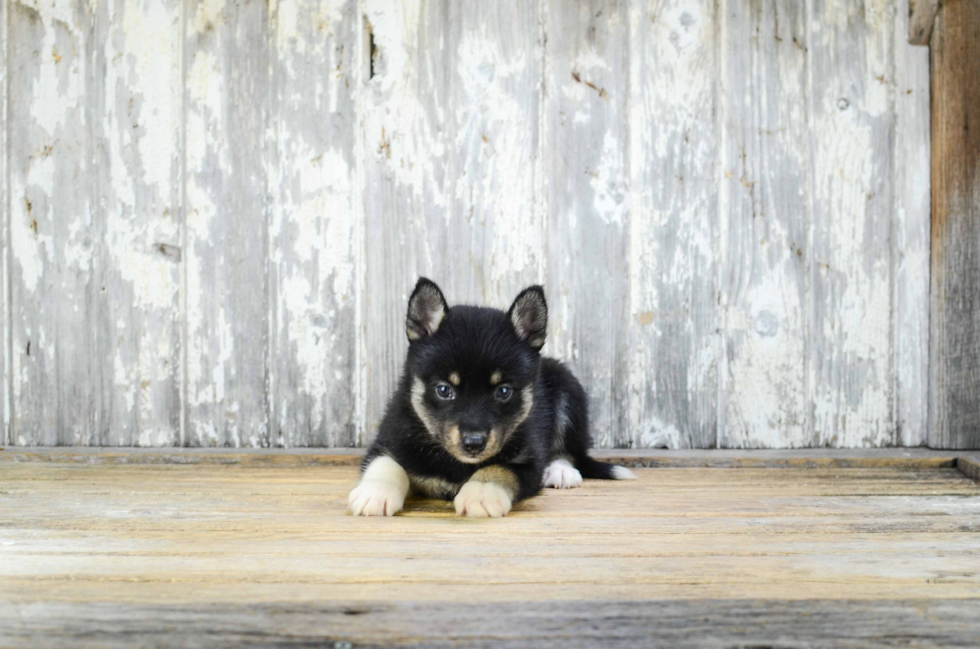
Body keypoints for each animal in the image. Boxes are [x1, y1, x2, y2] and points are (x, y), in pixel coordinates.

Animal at [346, 278, 636, 516]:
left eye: (503, 391)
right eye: (444, 390)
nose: (474, 443)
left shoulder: (529, 464)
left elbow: (498, 468)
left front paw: (481, 493)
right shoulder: (387, 440)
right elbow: (386, 464)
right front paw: (375, 493)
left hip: (569, 392)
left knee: (570, 452)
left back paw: (560, 470)